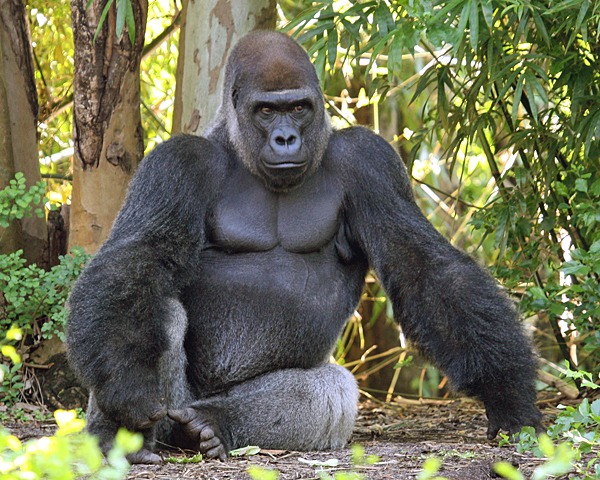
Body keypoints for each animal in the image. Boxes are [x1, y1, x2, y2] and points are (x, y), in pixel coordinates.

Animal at [67, 29, 544, 462]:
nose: (285, 139)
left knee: (332, 392)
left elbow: (423, 267)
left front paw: (509, 394)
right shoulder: (176, 163)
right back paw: (122, 438)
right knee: (158, 308)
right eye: (266, 111)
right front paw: (125, 379)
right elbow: (139, 257)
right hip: (170, 408)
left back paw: (215, 423)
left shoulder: (369, 160)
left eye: (298, 108)